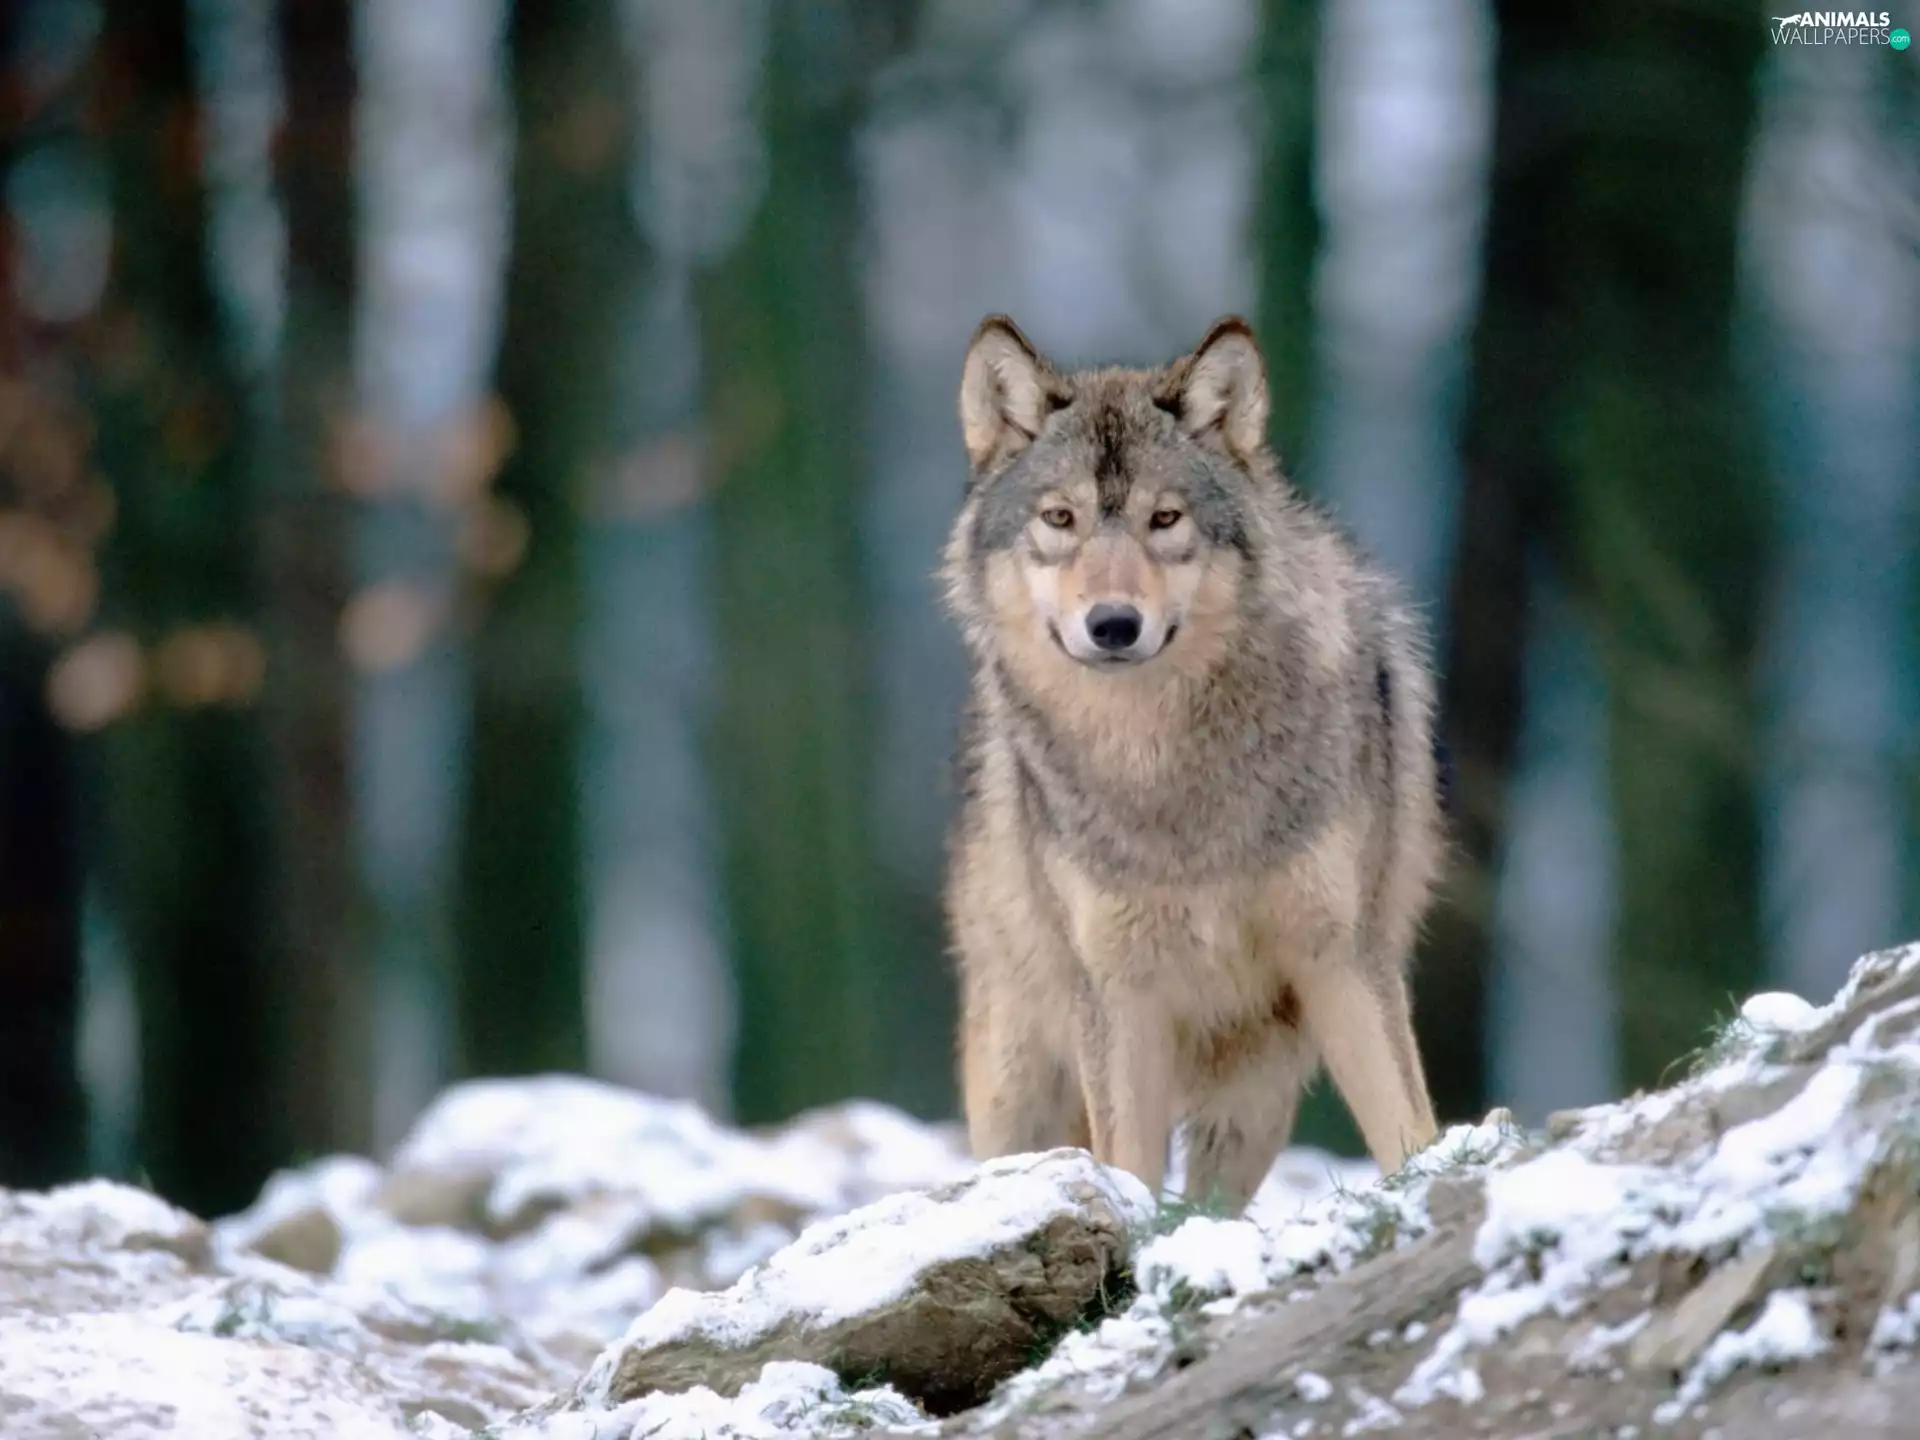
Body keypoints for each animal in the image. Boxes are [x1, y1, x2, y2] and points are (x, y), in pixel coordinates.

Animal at [940, 314, 1443, 1208]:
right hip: (1018, 1087)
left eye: (1165, 519)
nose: (1113, 624)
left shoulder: (1343, 958)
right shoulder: (1118, 994)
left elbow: (1408, 1129)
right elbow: (1130, 1170)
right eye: (1060, 518)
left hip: (1253, 1097)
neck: (1164, 771)